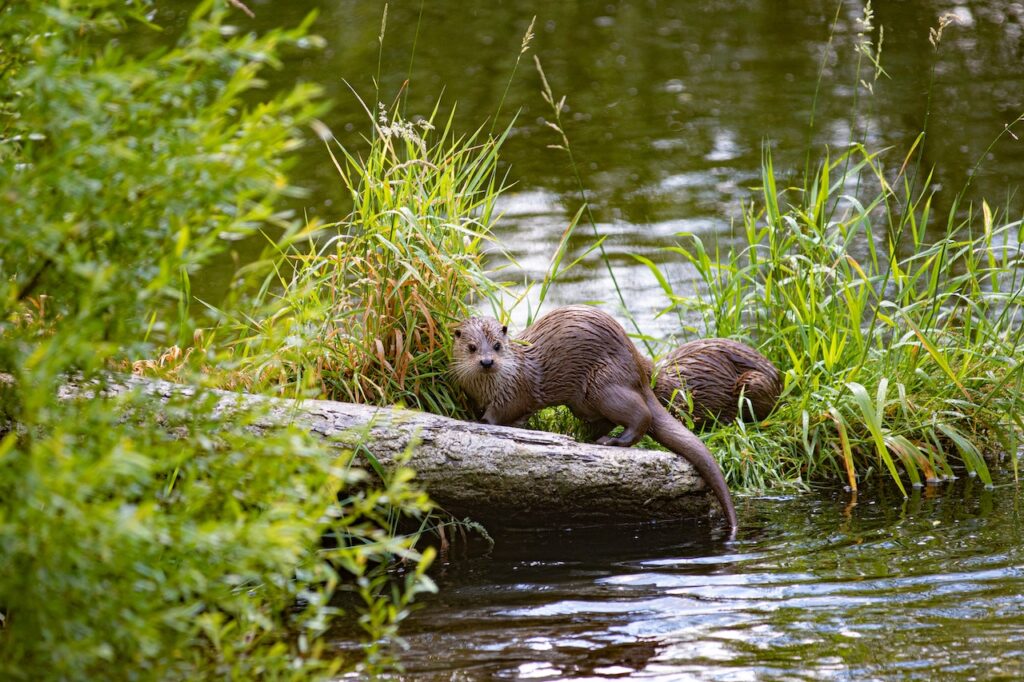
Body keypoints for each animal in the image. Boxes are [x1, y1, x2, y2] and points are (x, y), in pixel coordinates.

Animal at [451, 305, 737, 529]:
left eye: (497, 346)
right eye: (472, 347)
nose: (487, 362)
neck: (489, 386)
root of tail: (639, 370)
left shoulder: (515, 390)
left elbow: (503, 412)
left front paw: (479, 422)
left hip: (603, 385)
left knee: (641, 414)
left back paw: (612, 441)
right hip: (584, 402)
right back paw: (585, 436)